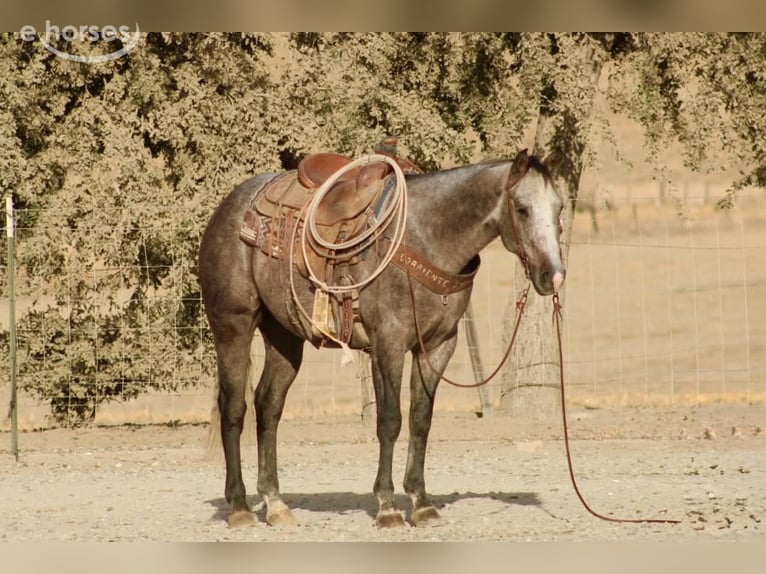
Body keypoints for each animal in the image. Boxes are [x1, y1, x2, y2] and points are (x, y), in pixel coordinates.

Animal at [198, 148, 566, 528]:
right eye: (521, 208)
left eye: (559, 207)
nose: (552, 276)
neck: (426, 238)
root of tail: (230, 206)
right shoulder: (388, 344)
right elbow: (390, 420)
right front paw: (388, 506)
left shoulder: (438, 346)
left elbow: (420, 420)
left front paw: (421, 503)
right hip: (233, 326)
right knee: (233, 408)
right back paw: (239, 506)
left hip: (283, 336)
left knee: (268, 405)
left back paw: (275, 503)